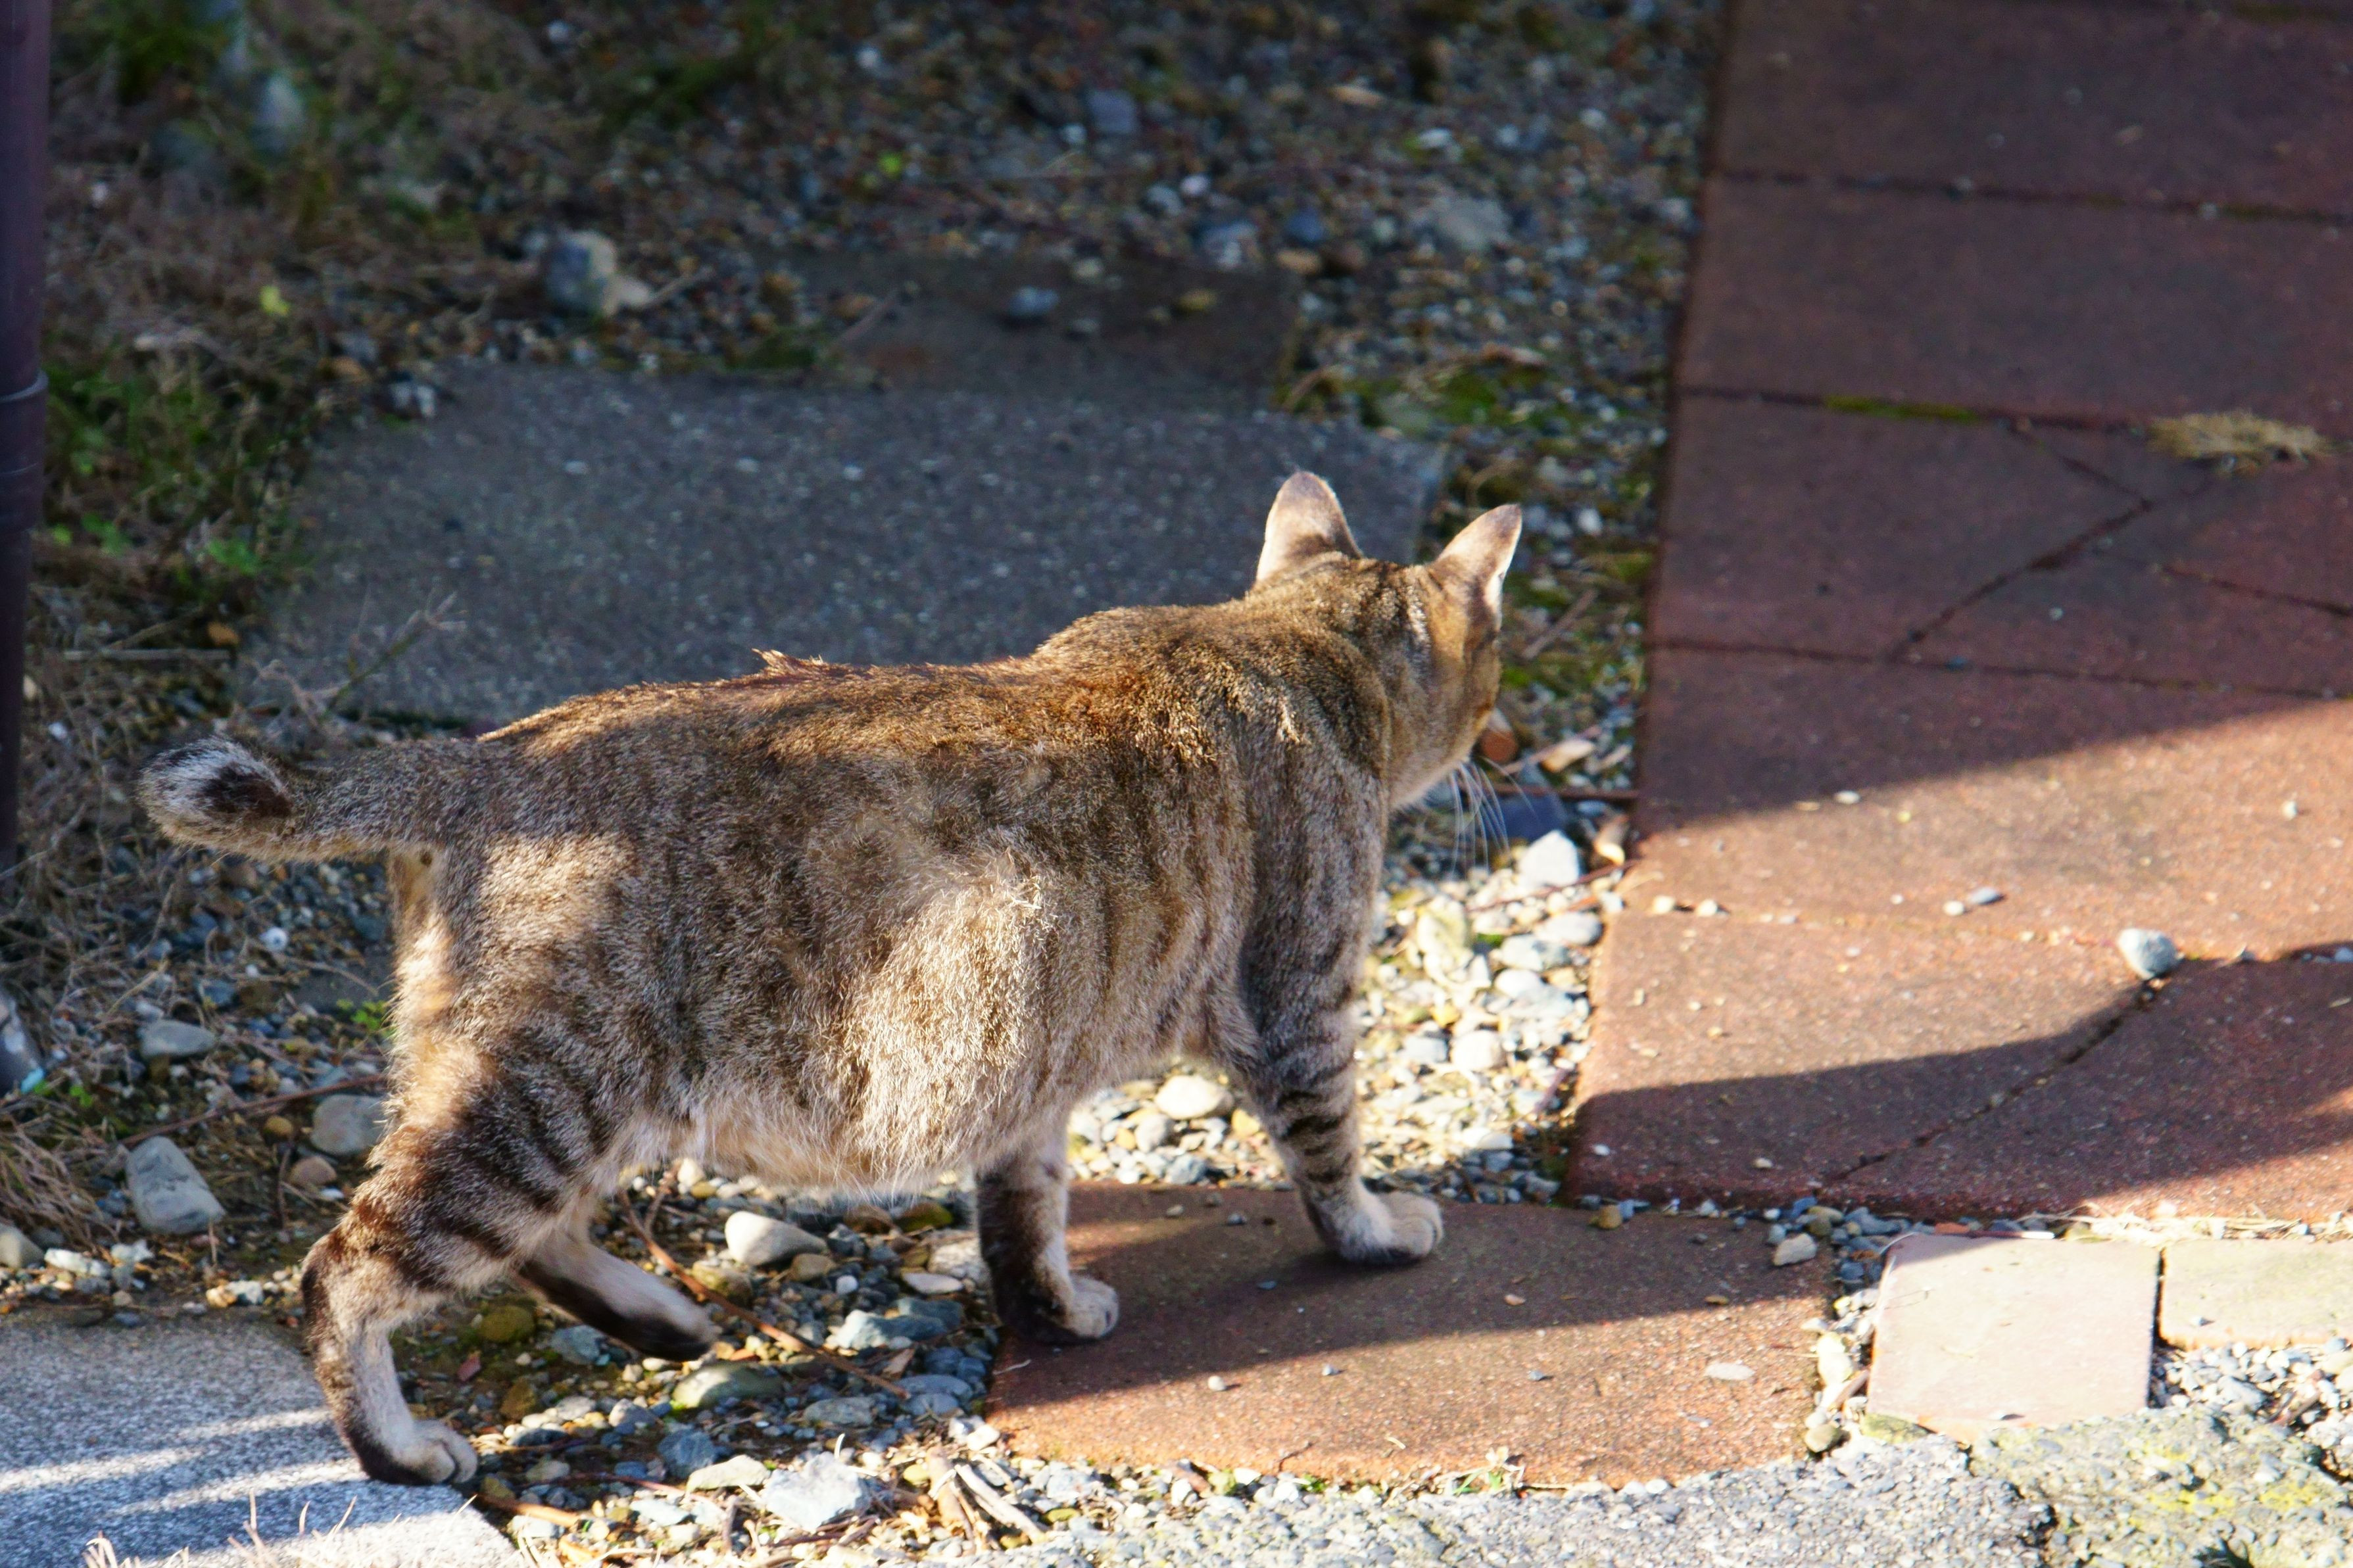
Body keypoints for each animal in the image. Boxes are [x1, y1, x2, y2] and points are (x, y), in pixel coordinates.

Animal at [139, 473, 1519, 1486]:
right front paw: (1380, 1233)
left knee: (530, 1241)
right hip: (544, 1096)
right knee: (346, 1270)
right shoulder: (1302, 1002)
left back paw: (661, 1319)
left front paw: (1054, 1314)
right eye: (1495, 666)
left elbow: (1023, 1225)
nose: (1502, 745)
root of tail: (475, 759)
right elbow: (1329, 1155)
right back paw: (403, 1450)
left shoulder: (1026, 1074)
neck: (1284, 643)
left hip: (540, 1096)